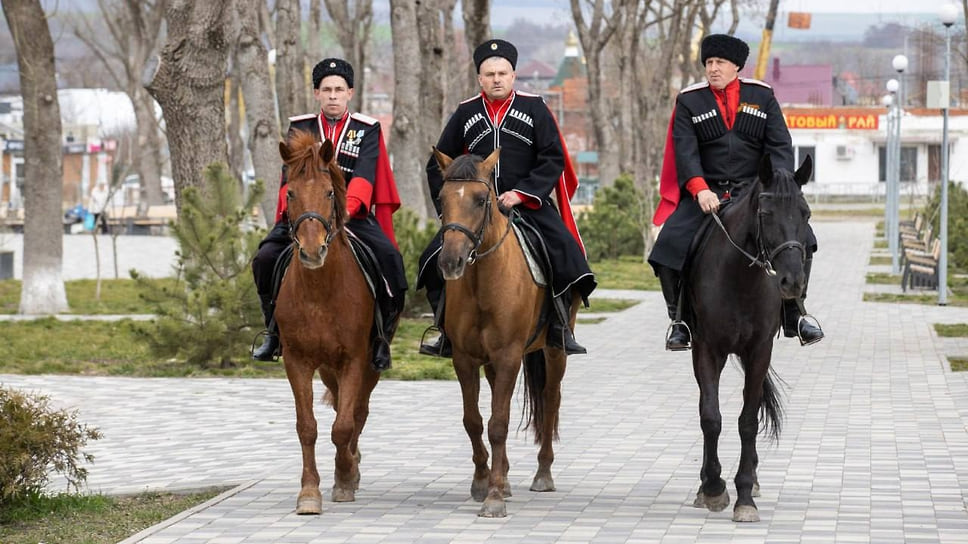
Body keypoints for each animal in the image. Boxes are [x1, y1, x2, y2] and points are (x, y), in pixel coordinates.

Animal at [274, 131, 380, 516]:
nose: (311, 250)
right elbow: (307, 427)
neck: (320, 291)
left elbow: (344, 425)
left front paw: (345, 477)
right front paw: (309, 492)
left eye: (329, 192)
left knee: (358, 412)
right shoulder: (297, 361)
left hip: (369, 365)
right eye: (290, 193)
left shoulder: (355, 359)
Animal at [432, 149, 576, 520]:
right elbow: (474, 421)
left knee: (551, 400)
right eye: (441, 198)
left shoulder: (510, 355)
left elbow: (499, 423)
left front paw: (494, 497)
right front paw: (484, 482)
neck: (482, 280)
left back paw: (543, 474)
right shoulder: (464, 358)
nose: (450, 262)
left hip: (555, 351)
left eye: (481, 200)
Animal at [684, 153, 812, 524]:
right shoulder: (707, 349)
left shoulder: (759, 351)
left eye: (806, 213)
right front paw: (713, 487)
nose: (792, 282)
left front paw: (743, 495)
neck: (740, 277)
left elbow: (748, 421)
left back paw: (751, 479)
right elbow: (710, 417)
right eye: (766, 214)